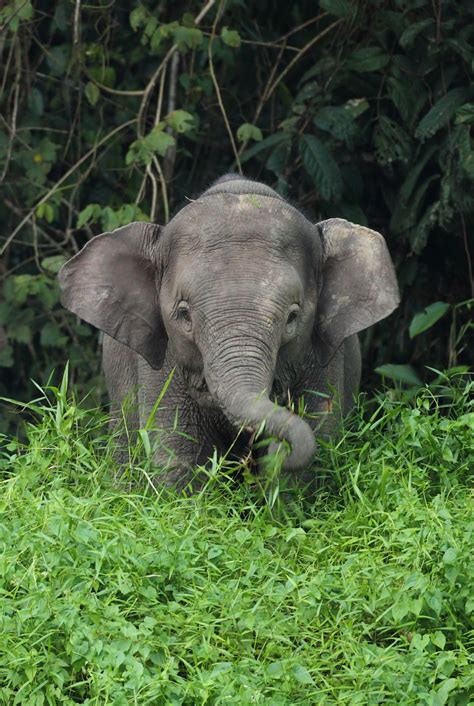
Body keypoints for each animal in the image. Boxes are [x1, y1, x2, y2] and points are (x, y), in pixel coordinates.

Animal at [59, 175, 400, 490]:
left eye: (293, 317)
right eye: (184, 314)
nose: (273, 448)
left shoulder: (323, 358)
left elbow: (311, 461)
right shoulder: (162, 364)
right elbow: (178, 458)